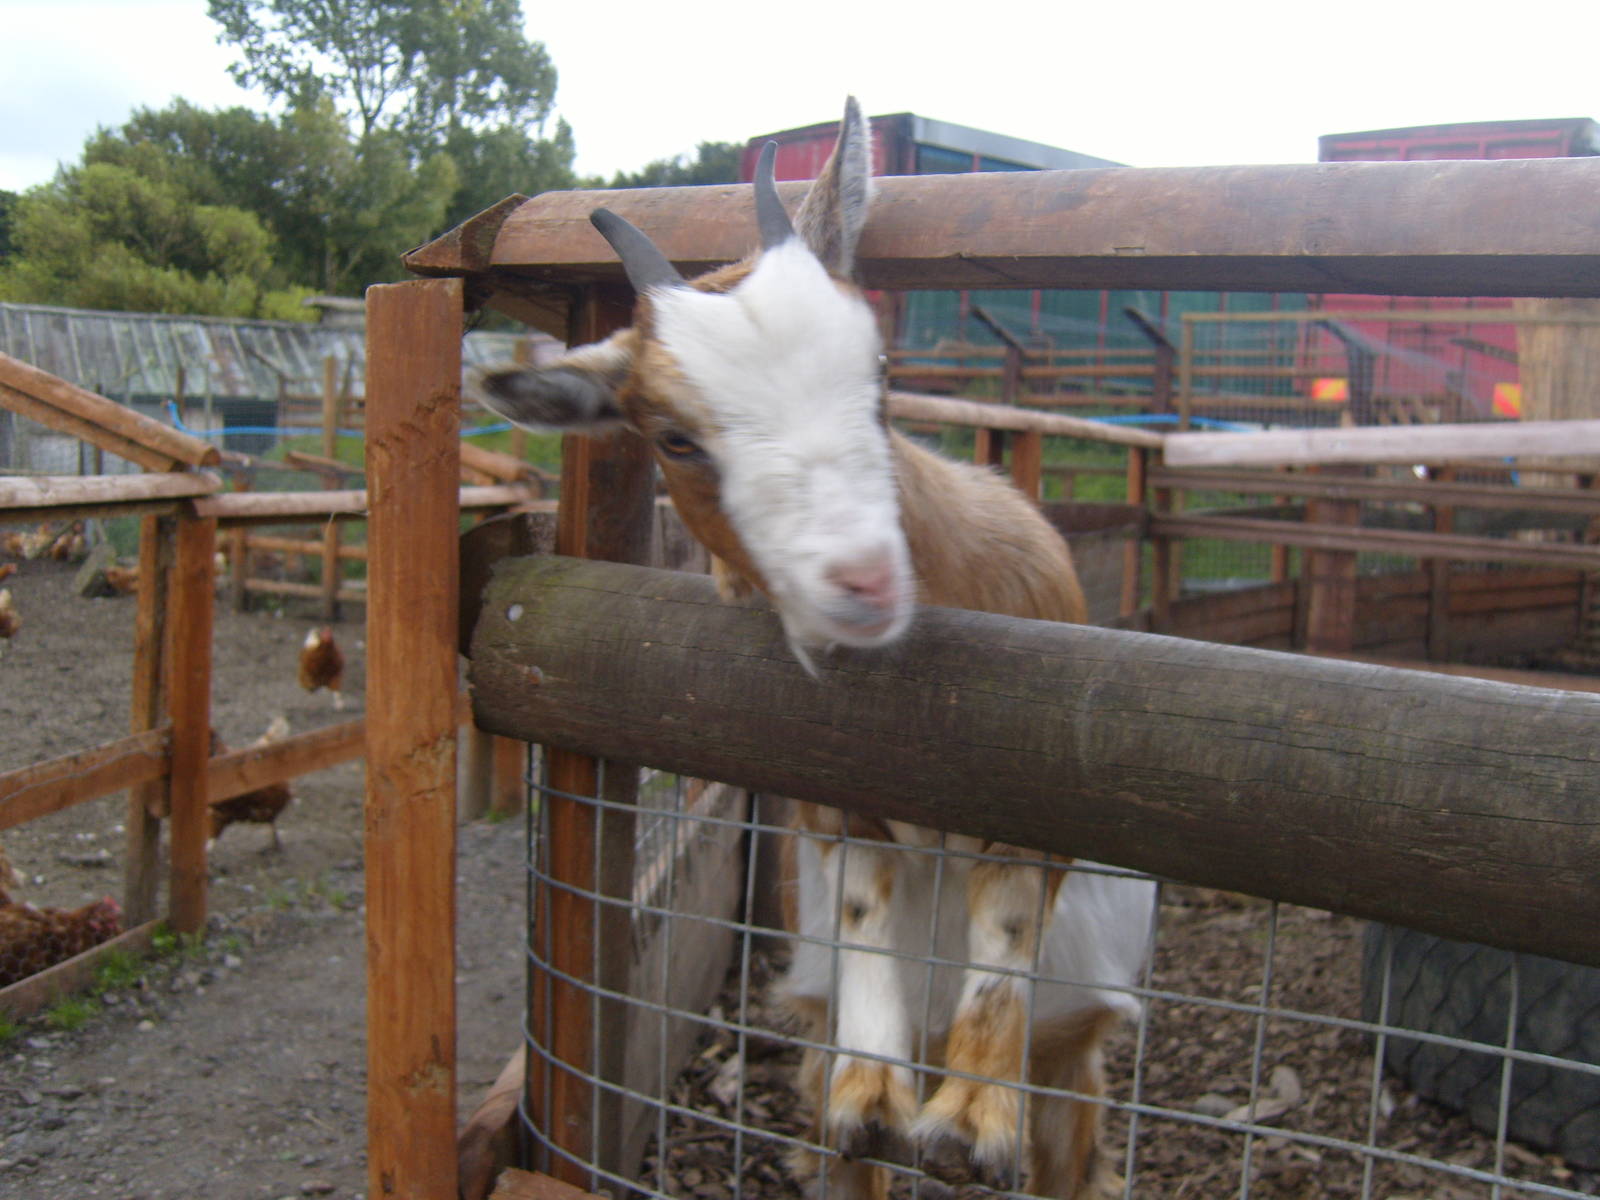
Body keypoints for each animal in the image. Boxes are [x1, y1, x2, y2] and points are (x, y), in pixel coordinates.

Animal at [473, 98, 1155, 1199]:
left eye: (877, 370)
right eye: (673, 438)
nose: (864, 580)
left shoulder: (1045, 790)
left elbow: (1009, 914)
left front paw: (971, 1119)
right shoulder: (832, 797)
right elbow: (866, 909)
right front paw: (874, 1101)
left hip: (1078, 1052)